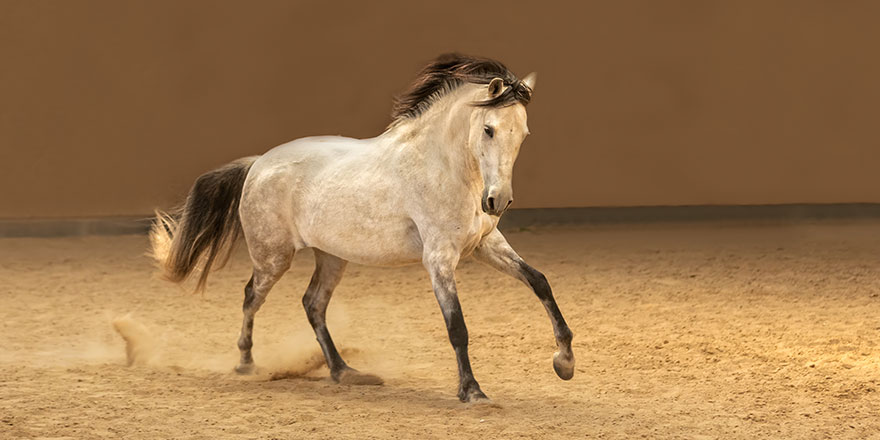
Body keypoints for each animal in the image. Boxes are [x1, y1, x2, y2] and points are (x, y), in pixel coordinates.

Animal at [150, 53, 576, 404]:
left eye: (523, 134)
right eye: (488, 129)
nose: (497, 201)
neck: (445, 167)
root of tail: (258, 163)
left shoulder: (485, 244)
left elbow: (539, 281)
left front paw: (565, 362)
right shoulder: (439, 258)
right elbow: (457, 325)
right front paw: (472, 392)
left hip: (331, 257)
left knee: (313, 304)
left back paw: (344, 372)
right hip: (273, 257)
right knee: (251, 296)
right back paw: (245, 363)